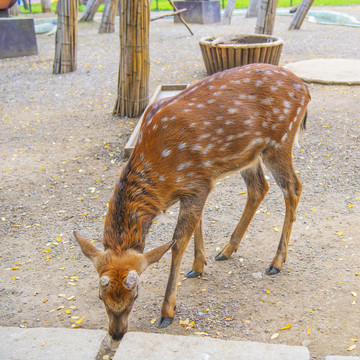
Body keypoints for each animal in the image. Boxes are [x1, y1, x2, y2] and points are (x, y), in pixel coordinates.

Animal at [74, 62, 310, 340]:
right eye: (101, 297)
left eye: (135, 295)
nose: (117, 333)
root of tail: (305, 89)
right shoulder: (198, 185)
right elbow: (197, 223)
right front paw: (198, 265)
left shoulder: (198, 183)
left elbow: (177, 243)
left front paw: (167, 312)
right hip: (249, 155)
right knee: (259, 187)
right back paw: (226, 250)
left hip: (280, 142)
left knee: (293, 187)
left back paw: (276, 262)